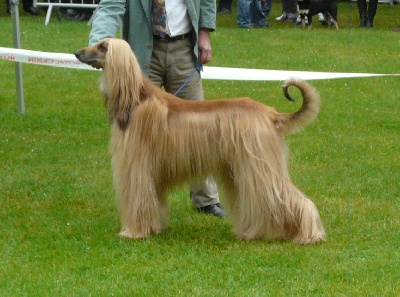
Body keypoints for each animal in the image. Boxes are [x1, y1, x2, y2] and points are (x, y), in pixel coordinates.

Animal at [74, 38, 324, 244]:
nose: (77, 53)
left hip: (260, 165)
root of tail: (271, 114)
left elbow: (139, 199)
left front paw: (134, 232)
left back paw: (309, 235)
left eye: (102, 46)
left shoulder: (137, 167)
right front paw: (155, 228)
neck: (136, 99)